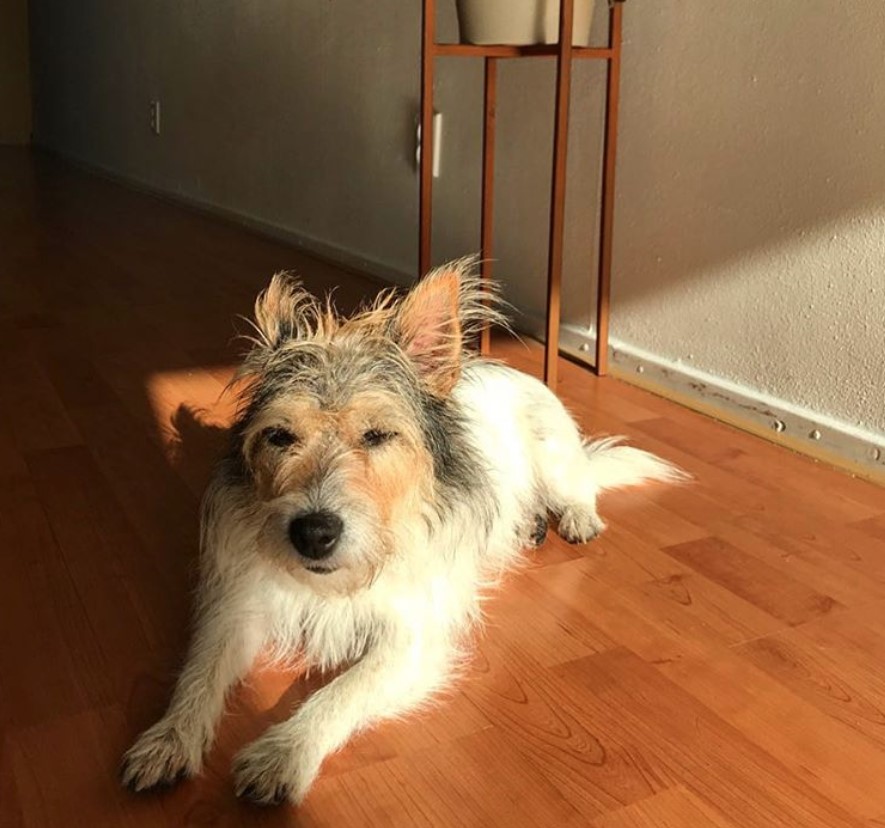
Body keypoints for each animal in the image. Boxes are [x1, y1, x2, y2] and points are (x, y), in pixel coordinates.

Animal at [119, 258, 684, 804]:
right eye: (279, 435)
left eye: (378, 435)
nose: (313, 532)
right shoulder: (240, 605)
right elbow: (199, 670)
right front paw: (167, 738)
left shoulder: (412, 638)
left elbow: (340, 692)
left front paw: (283, 754)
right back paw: (528, 527)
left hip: (553, 454)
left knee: (578, 487)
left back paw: (574, 518)